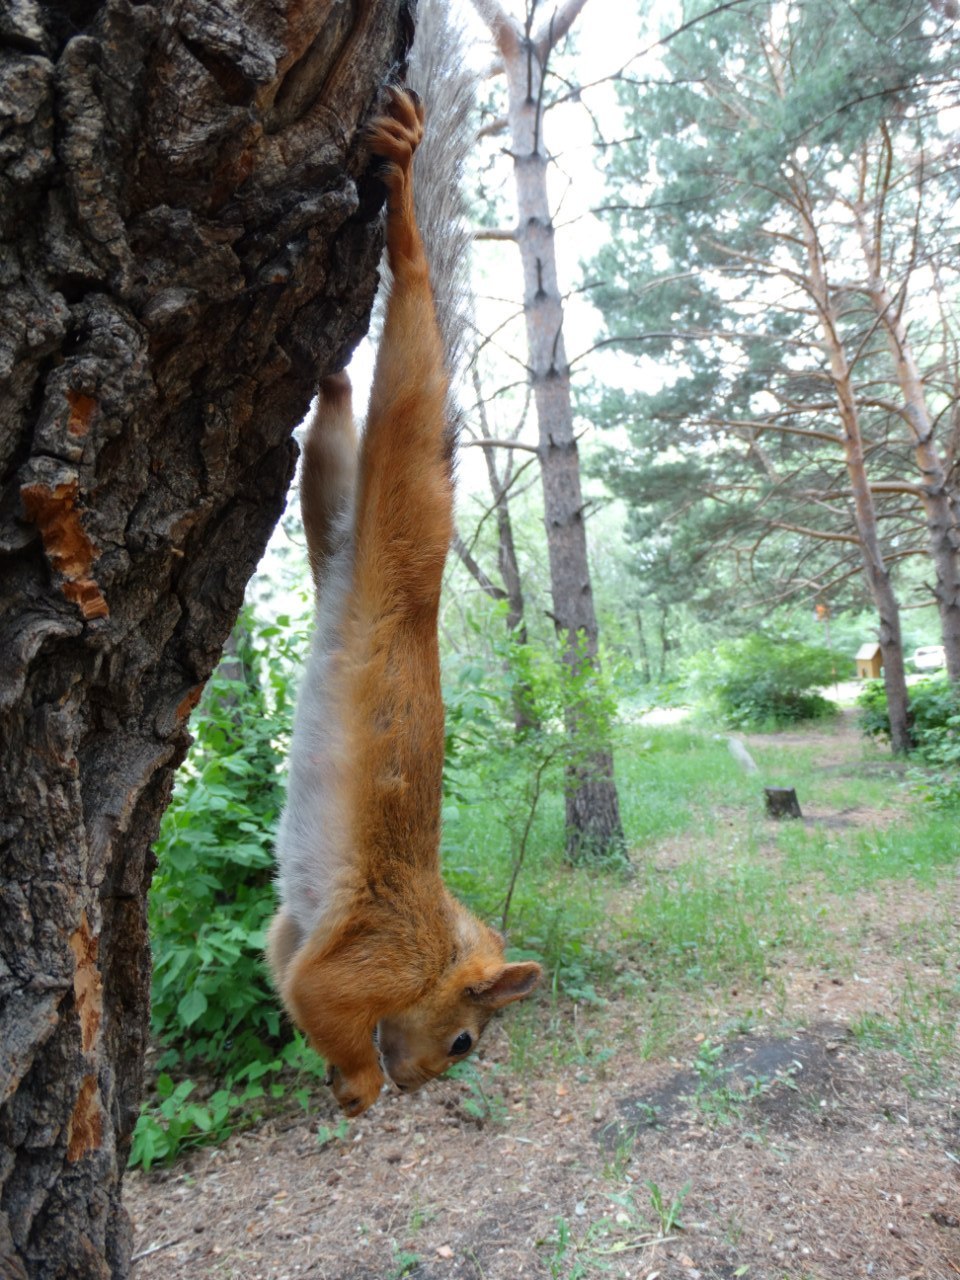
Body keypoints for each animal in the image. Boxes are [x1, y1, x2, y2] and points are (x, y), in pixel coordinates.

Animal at [267, 87, 545, 1121]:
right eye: (466, 1040)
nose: (426, 1077)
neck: (438, 938)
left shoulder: (294, 928)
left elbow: (279, 965)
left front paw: (347, 1083)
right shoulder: (373, 956)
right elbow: (320, 1000)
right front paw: (358, 1088)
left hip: (339, 531)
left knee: (331, 454)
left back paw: (332, 371)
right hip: (411, 507)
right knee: (413, 367)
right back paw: (406, 212)